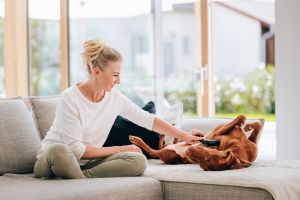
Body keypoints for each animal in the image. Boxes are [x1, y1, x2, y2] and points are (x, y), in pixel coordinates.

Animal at [129, 115, 262, 171]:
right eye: (209, 155)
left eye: (204, 161)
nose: (188, 151)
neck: (240, 148)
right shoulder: (218, 131)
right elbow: (251, 121)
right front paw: (247, 125)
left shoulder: (216, 133)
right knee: (171, 141)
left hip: (167, 153)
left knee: (153, 151)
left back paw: (136, 139)